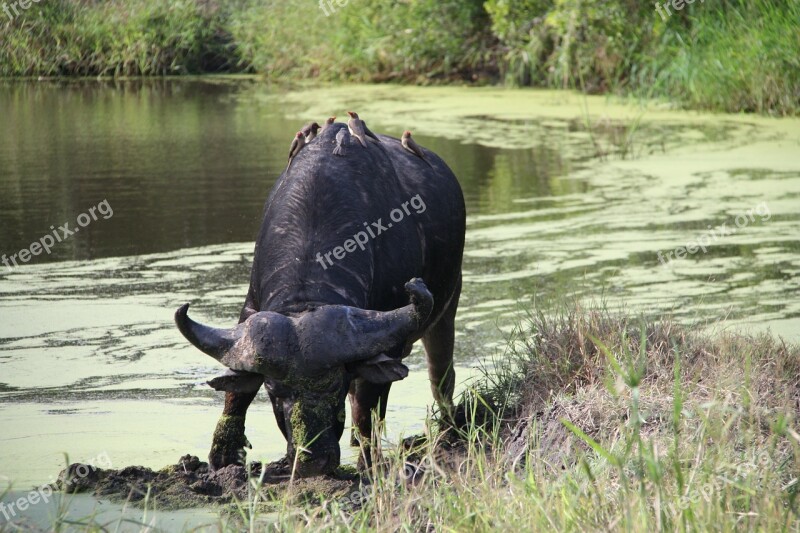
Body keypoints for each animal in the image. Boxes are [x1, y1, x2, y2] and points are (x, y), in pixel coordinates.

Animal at [172, 121, 466, 478]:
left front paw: (369, 463)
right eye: (274, 390)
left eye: (335, 385)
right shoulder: (250, 310)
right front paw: (224, 454)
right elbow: (237, 392)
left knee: (441, 376)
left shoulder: (387, 339)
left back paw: (449, 431)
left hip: (448, 306)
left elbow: (365, 407)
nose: (312, 460)